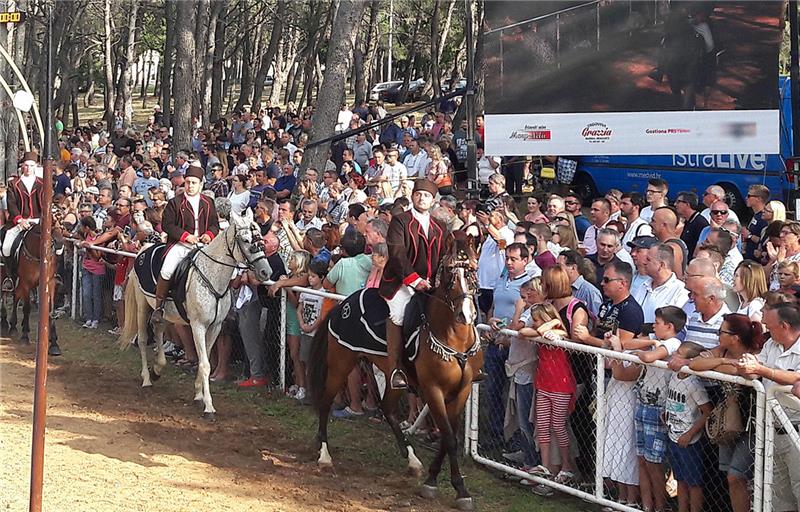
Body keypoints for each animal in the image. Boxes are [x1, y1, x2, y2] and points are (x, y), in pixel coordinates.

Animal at [0, 206, 64, 354]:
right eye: (51, 223)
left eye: (62, 222)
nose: (60, 244)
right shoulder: (26, 283)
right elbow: (27, 308)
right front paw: (24, 337)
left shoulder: (50, 283)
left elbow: (50, 310)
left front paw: (54, 343)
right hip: (4, 275)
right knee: (5, 295)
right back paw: (6, 323)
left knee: (15, 296)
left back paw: (13, 325)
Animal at [116, 209, 272, 420]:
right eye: (247, 240)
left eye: (261, 238)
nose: (266, 272)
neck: (213, 275)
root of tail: (144, 249)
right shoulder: (198, 325)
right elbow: (205, 364)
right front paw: (209, 407)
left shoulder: (215, 327)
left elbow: (203, 360)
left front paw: (199, 395)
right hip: (142, 307)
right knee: (141, 339)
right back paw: (147, 379)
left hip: (163, 314)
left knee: (158, 332)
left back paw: (157, 369)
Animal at [306, 233, 482, 512]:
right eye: (448, 274)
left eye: (473, 271)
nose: (465, 314)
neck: (455, 339)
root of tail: (342, 304)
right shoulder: (433, 390)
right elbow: (449, 437)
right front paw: (455, 489)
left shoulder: (461, 391)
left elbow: (447, 437)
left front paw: (437, 481)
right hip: (340, 364)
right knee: (325, 404)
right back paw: (324, 456)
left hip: (391, 375)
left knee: (388, 409)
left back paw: (412, 461)